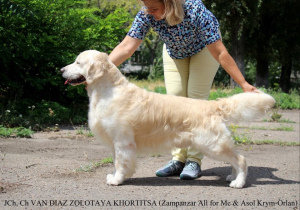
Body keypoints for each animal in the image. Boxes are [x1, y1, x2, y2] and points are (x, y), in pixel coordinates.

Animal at [61, 50, 276, 188]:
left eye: (78, 62)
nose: (61, 70)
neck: (107, 91)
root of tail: (210, 106)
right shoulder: (115, 142)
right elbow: (117, 162)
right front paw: (116, 176)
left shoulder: (122, 141)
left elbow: (121, 163)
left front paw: (117, 179)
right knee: (234, 160)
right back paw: (232, 176)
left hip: (213, 144)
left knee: (241, 160)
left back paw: (238, 182)